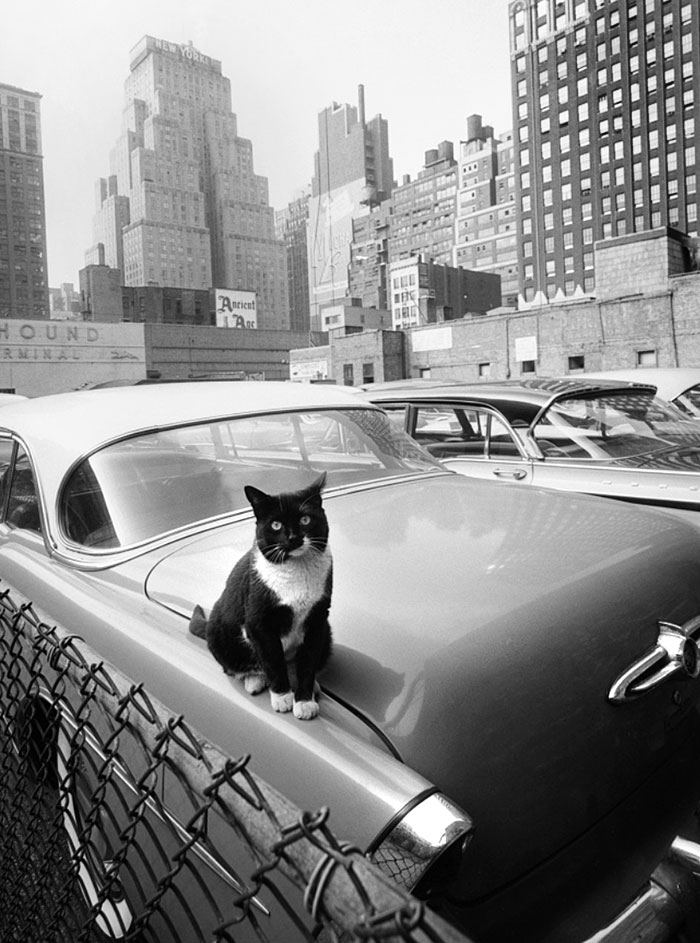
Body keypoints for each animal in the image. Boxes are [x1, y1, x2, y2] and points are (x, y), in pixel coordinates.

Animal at [189, 472, 334, 724]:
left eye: (305, 519)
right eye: (276, 525)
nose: (293, 538)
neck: (296, 571)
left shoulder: (318, 620)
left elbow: (307, 663)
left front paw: (304, 701)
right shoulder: (259, 622)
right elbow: (272, 661)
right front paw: (283, 697)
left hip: (327, 633)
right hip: (221, 634)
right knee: (240, 667)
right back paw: (255, 681)